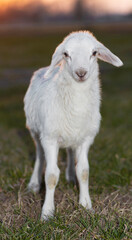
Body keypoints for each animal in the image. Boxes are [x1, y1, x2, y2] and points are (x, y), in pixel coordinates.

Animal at [23, 31, 122, 220]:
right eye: (66, 54)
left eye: (94, 53)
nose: (81, 72)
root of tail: (43, 69)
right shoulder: (50, 138)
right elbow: (51, 175)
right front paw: (47, 213)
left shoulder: (85, 139)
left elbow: (83, 172)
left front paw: (86, 205)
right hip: (34, 130)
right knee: (39, 155)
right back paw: (34, 184)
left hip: (71, 135)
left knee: (69, 151)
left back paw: (69, 176)